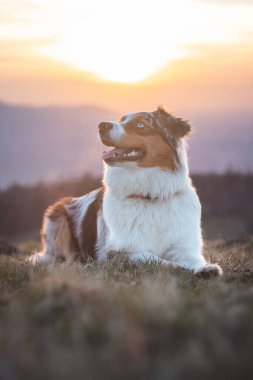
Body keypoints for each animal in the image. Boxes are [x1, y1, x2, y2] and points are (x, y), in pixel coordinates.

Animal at [31, 105, 221, 278]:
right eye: (121, 119)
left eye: (140, 125)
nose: (102, 125)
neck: (149, 195)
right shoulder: (120, 252)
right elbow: (159, 261)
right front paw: (180, 269)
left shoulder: (183, 246)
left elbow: (193, 260)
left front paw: (205, 268)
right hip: (57, 216)